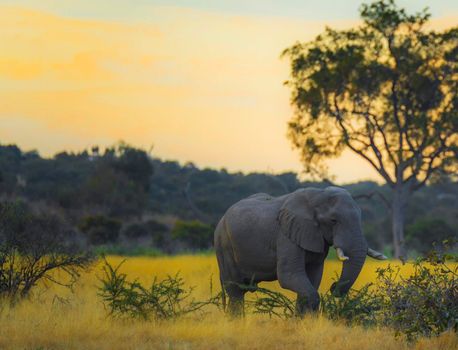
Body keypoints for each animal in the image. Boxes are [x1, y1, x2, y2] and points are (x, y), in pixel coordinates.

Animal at [215, 187, 386, 316]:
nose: (334, 286)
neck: (318, 196)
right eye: (333, 221)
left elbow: (313, 277)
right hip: (223, 246)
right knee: (235, 292)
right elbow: (289, 275)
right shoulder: (286, 234)